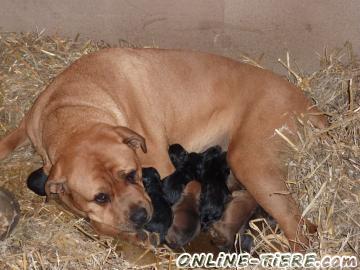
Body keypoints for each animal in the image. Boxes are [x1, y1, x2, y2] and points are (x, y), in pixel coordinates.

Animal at [0, 48, 326, 251]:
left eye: (133, 175)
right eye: (100, 196)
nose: (140, 216)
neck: (74, 109)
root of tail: (310, 105)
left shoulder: (162, 166)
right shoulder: (31, 129)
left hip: (250, 162)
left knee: (298, 226)